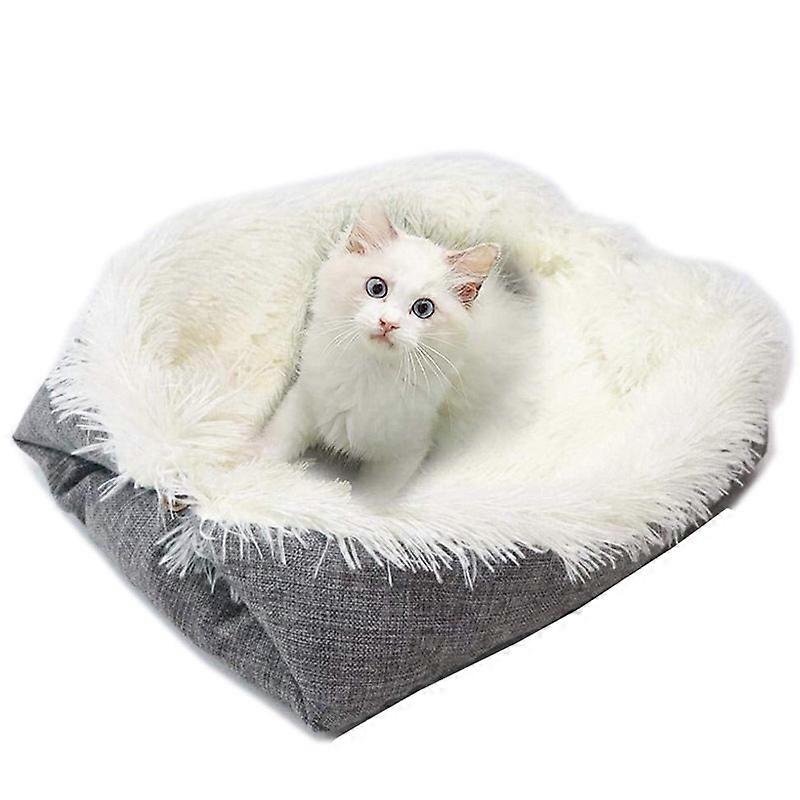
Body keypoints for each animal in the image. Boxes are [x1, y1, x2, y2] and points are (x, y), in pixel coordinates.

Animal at [255, 204, 500, 503]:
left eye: (423, 308)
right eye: (376, 288)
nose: (388, 323)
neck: (369, 373)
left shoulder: (405, 452)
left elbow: (371, 499)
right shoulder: (303, 400)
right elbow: (275, 443)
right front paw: (252, 468)